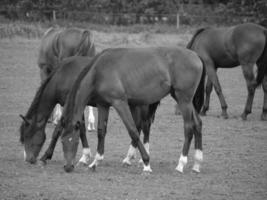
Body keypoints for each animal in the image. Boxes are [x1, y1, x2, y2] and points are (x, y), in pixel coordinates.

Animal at [20, 55, 161, 166]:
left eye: (27, 136)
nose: (28, 159)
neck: (63, 75)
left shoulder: (71, 105)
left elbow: (61, 129)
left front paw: (46, 156)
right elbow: (78, 128)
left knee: (143, 126)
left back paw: (137, 158)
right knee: (140, 126)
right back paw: (132, 157)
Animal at [58, 47, 205, 173]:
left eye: (75, 141)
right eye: (62, 141)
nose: (68, 167)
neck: (99, 71)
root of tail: (196, 55)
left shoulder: (120, 103)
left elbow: (132, 130)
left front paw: (146, 163)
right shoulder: (103, 105)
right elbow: (101, 131)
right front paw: (95, 162)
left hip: (183, 100)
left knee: (188, 127)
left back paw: (181, 164)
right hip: (182, 99)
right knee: (198, 124)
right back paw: (197, 164)